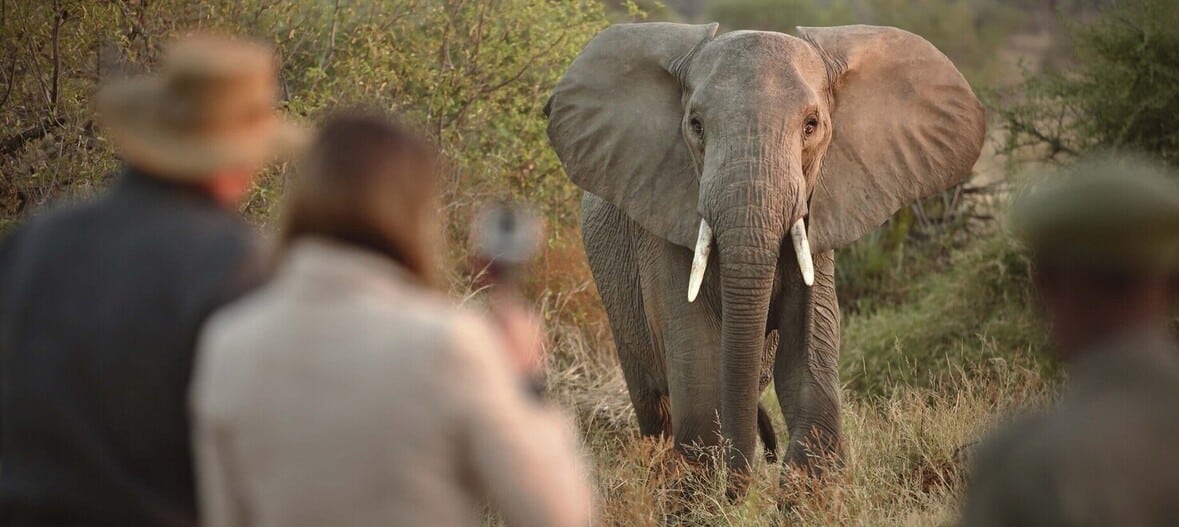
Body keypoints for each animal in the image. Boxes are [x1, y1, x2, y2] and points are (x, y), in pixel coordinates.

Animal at [542, 23, 985, 478]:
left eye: (811, 125)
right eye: (696, 125)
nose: (748, 474)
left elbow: (808, 352)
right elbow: (699, 369)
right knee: (655, 405)